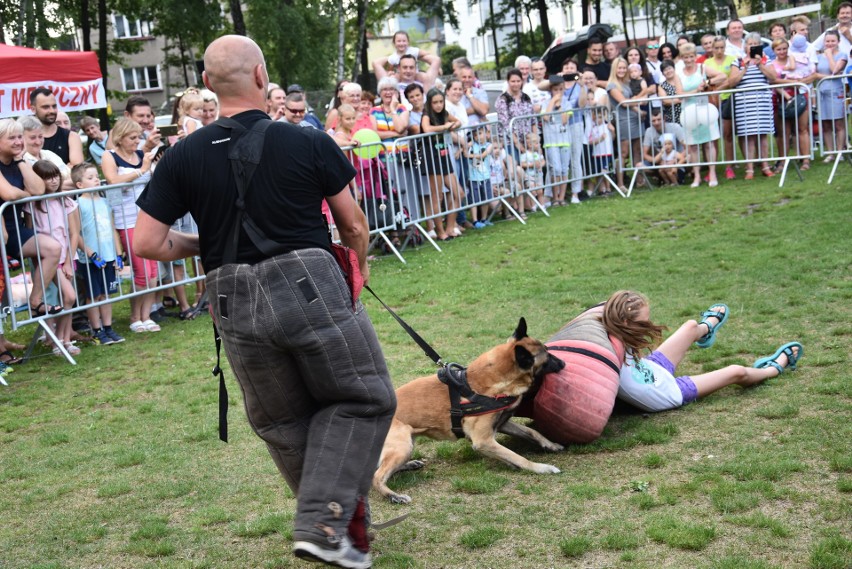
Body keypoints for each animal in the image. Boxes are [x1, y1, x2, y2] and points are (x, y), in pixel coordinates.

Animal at [374, 318, 564, 504]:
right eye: (547, 358)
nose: (563, 363)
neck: (492, 380)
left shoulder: (501, 424)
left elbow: (532, 432)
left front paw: (551, 444)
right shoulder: (483, 440)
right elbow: (518, 457)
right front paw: (541, 468)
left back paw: (410, 465)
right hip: (403, 445)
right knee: (376, 477)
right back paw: (393, 496)